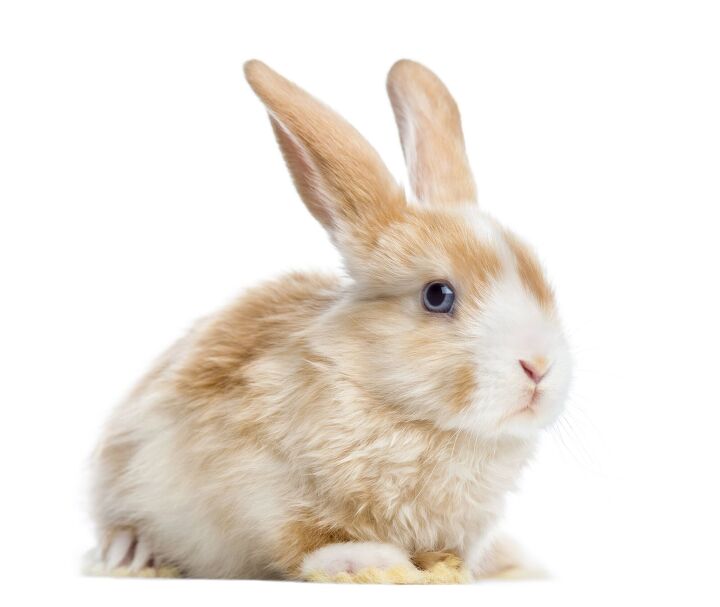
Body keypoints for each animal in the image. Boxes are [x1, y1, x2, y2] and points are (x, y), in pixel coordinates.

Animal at [89, 59, 572, 581]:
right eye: (437, 295)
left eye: (540, 281)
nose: (539, 366)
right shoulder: (257, 485)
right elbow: (304, 540)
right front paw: (371, 561)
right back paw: (130, 551)